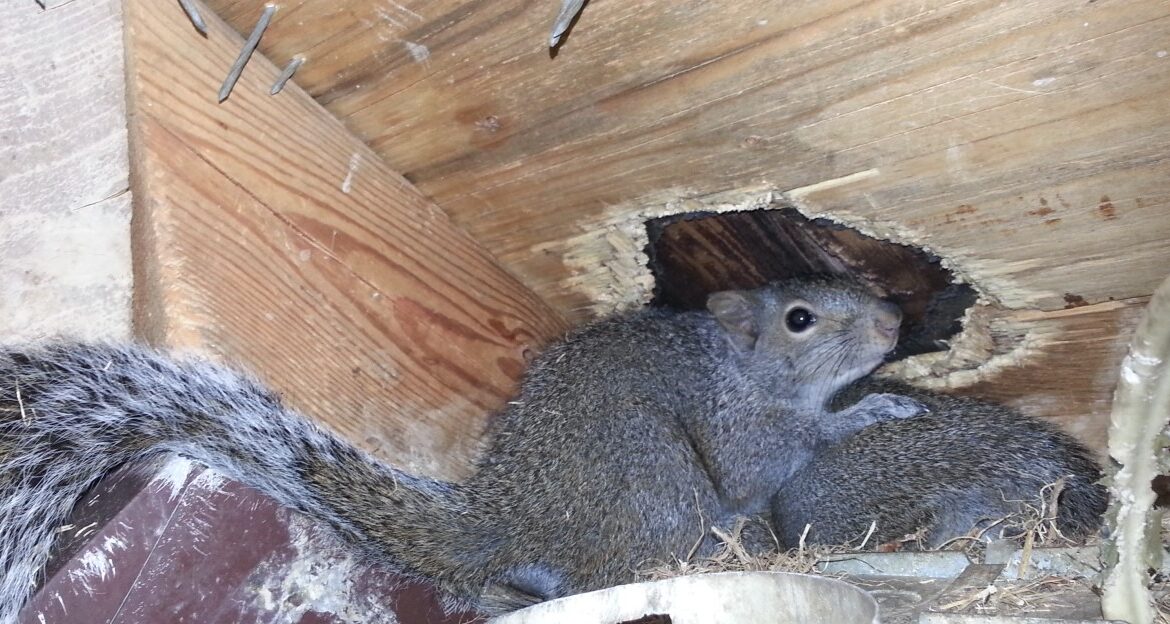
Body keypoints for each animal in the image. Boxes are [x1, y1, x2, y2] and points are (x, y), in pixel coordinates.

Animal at [0, 277, 921, 618]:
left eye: (854, 275)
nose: (893, 321)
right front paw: (867, 409)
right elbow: (765, 456)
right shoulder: (735, 424)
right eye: (800, 318)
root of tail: (508, 518)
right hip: (661, 493)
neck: (741, 365)